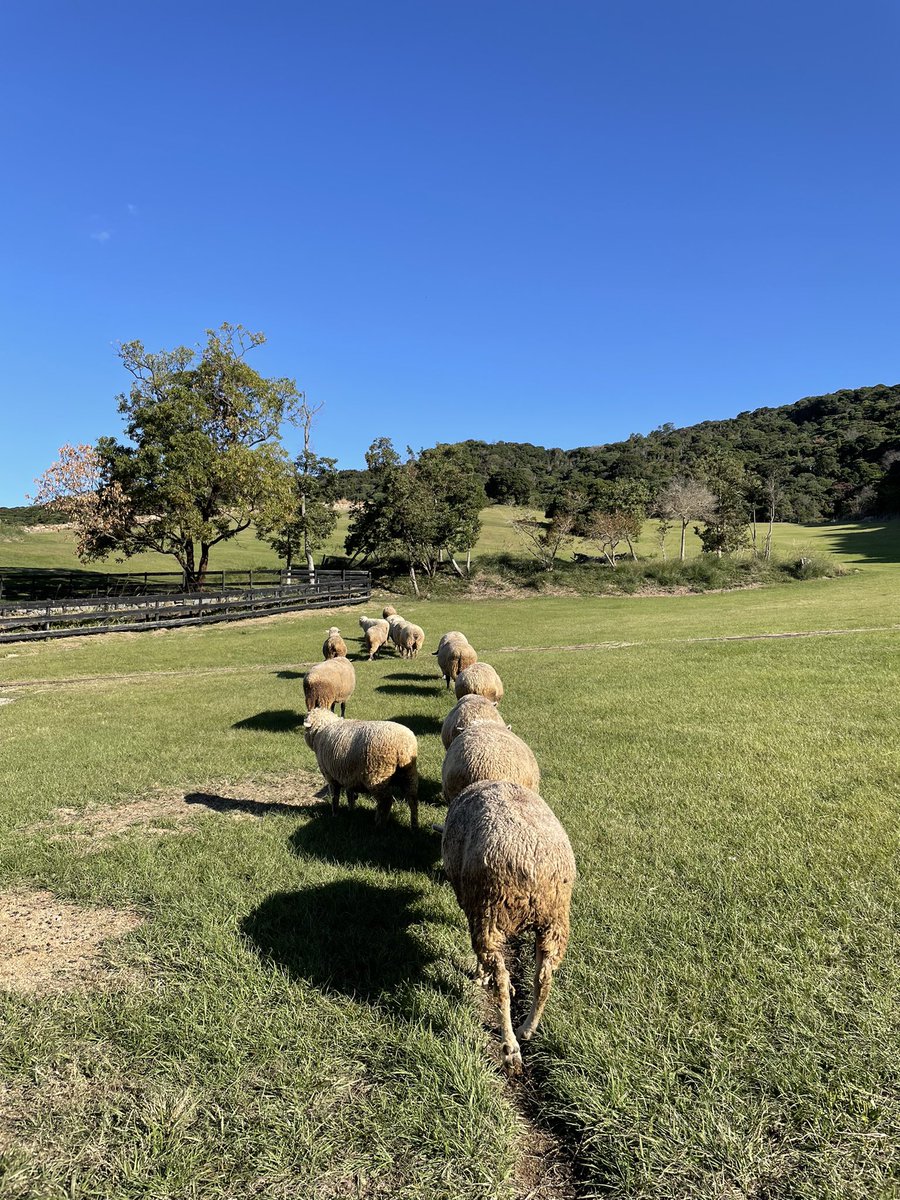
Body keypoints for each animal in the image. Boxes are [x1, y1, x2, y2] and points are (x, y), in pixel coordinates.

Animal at [442, 780, 576, 1073]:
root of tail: (531, 864)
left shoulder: (471, 906)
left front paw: (480, 976)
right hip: (554, 923)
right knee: (544, 977)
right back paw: (527, 1029)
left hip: (489, 915)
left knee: (502, 980)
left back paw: (510, 1046)